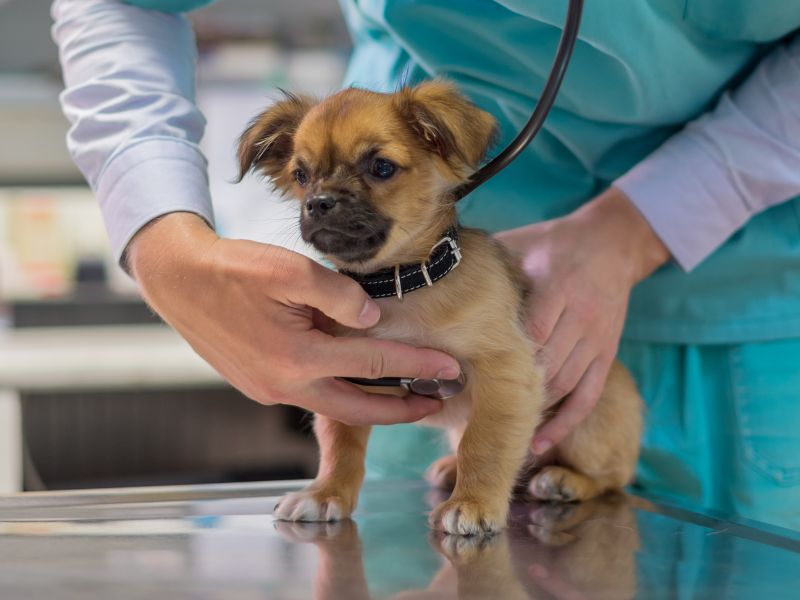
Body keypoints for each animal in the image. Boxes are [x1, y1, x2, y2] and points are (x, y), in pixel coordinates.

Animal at [239, 79, 644, 536]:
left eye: (381, 167)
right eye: (301, 175)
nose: (319, 202)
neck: (399, 286)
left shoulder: (504, 372)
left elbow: (484, 443)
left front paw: (472, 503)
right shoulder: (346, 378)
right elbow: (340, 441)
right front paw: (327, 493)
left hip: (590, 427)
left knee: (614, 479)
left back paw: (564, 480)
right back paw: (451, 469)